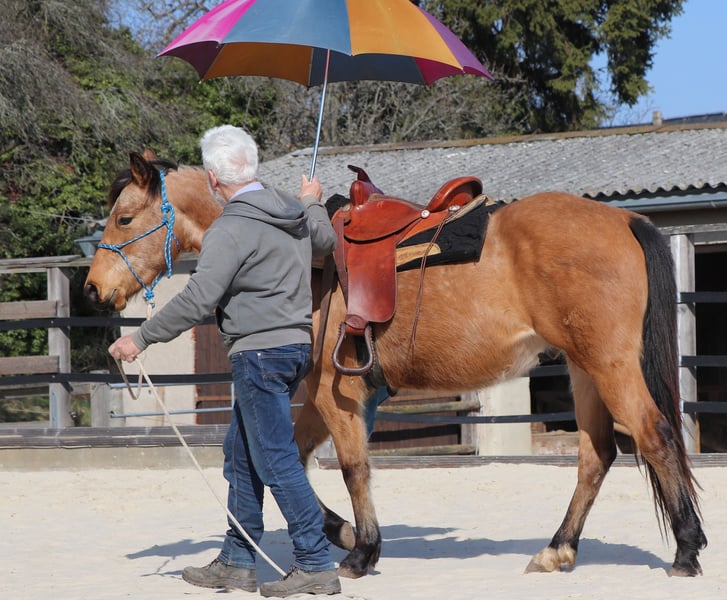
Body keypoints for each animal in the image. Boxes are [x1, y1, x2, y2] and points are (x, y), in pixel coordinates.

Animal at [84, 151, 707, 579]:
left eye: (124, 218)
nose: (92, 289)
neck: (301, 256)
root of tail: (624, 220)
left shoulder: (336, 394)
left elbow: (352, 467)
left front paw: (361, 551)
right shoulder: (317, 398)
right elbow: (287, 462)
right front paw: (339, 531)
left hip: (609, 365)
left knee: (653, 435)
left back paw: (685, 550)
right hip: (583, 370)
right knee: (596, 455)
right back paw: (558, 549)